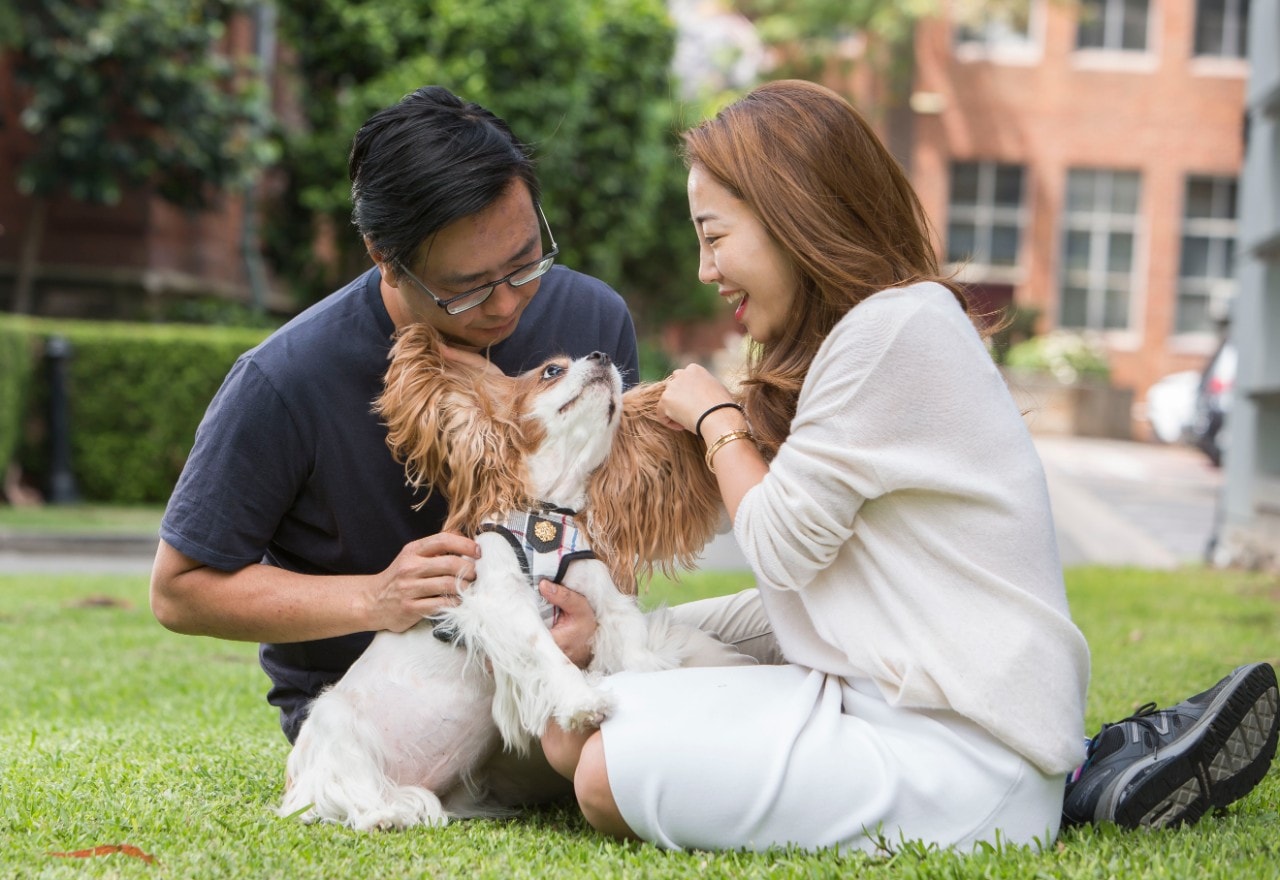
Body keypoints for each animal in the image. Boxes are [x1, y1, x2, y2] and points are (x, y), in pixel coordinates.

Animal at [279, 324, 721, 833]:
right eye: (552, 371)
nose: (602, 355)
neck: (545, 516)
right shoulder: (502, 603)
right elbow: (548, 653)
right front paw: (581, 701)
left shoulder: (604, 598)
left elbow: (630, 644)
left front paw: (653, 686)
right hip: (334, 728)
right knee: (345, 795)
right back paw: (383, 814)